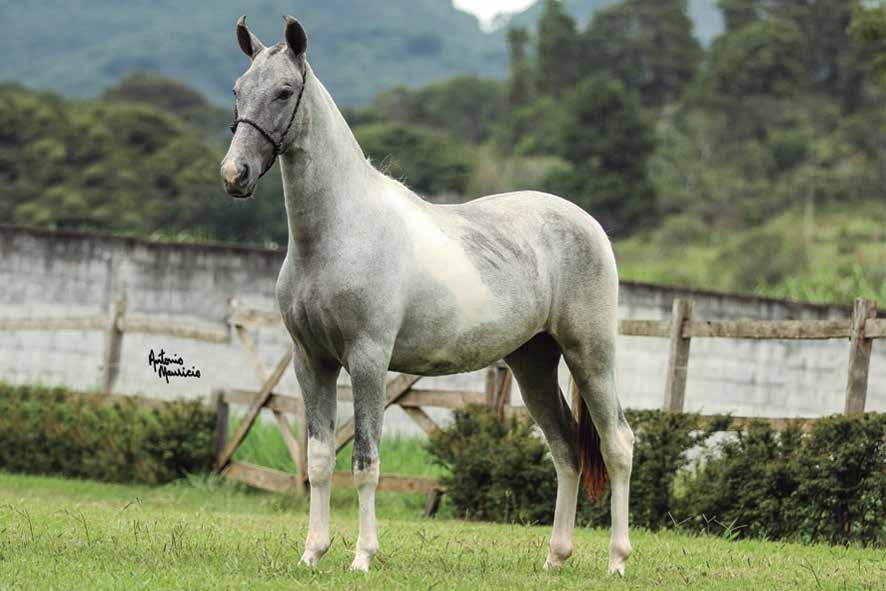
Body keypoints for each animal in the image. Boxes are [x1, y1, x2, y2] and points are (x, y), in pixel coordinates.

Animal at [222, 15, 640, 580]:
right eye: (239, 90)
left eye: (285, 91)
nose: (235, 175)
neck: (339, 232)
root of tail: (588, 223)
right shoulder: (311, 361)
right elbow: (319, 459)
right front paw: (312, 552)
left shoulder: (369, 361)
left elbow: (366, 461)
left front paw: (362, 557)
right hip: (532, 364)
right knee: (567, 450)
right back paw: (555, 558)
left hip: (590, 355)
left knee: (617, 444)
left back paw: (617, 560)